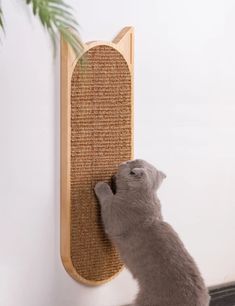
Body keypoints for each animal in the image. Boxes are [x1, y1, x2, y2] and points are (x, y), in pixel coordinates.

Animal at [94, 159, 210, 304]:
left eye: (130, 162)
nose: (123, 162)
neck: (147, 196)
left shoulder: (113, 215)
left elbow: (107, 199)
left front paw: (101, 185)